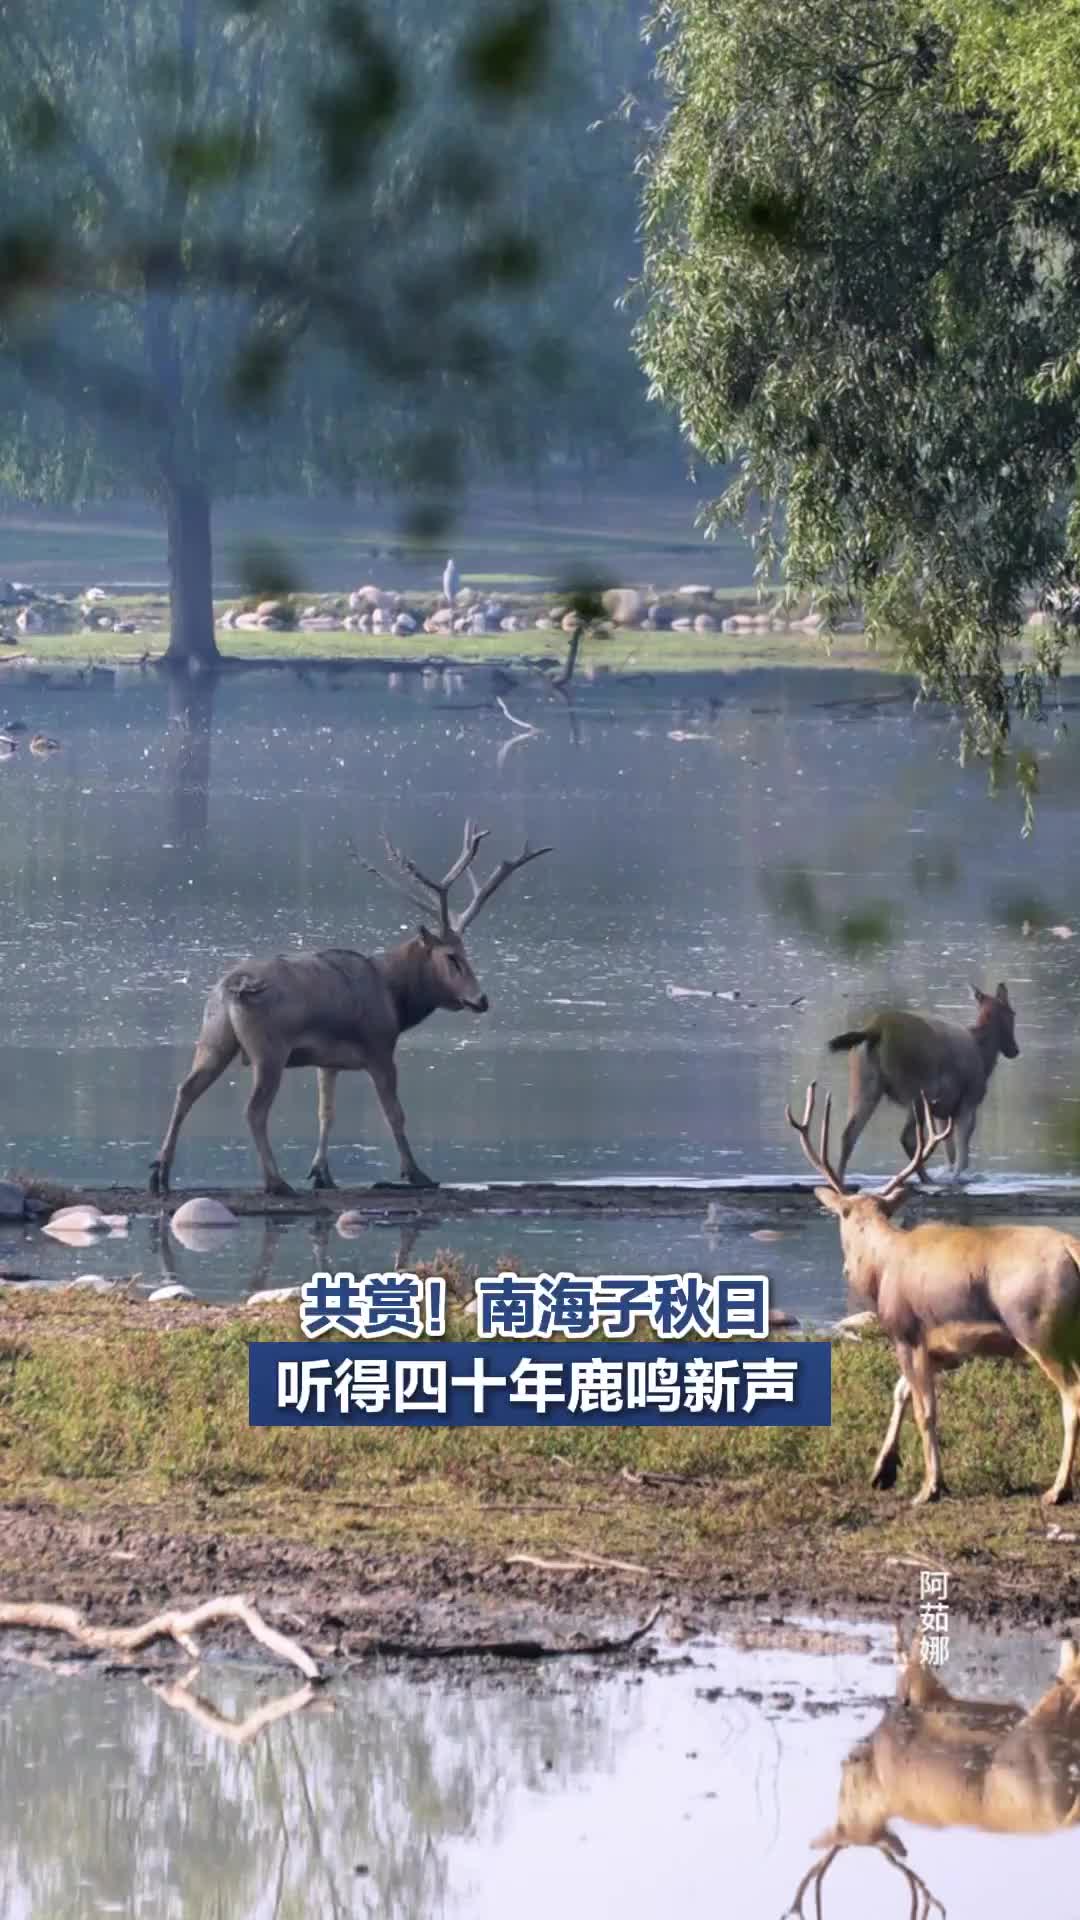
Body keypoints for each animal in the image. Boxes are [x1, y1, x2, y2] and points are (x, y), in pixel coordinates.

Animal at [148, 822, 551, 1197]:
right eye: (452, 957)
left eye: (468, 954)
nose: (481, 1000)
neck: (396, 1000)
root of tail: (232, 989)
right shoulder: (379, 1047)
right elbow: (395, 1114)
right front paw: (416, 1173)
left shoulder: (327, 1061)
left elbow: (327, 1114)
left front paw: (322, 1174)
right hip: (269, 1048)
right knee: (254, 1110)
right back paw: (275, 1181)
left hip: (214, 1037)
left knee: (185, 1089)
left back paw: (161, 1174)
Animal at [787, 1081, 1080, 1506]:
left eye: (842, 1214)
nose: (845, 1269)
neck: (881, 1267)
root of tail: (1073, 1250)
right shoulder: (944, 1349)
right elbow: (900, 1392)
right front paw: (883, 1470)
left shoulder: (906, 1333)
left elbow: (926, 1411)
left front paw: (930, 1486)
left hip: (1039, 1329)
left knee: (1072, 1397)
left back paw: (1058, 1488)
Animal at [787, 1630, 1080, 1917]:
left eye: (844, 1824)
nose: (848, 1761)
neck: (880, 1782)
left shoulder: (922, 1686)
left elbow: (914, 1657)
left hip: (1035, 1733)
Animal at [827, 983, 1018, 1185]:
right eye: (1012, 1013)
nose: (1014, 1050)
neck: (985, 1056)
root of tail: (875, 1029)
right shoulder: (969, 1101)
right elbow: (962, 1157)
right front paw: (957, 1178)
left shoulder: (944, 1112)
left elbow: (950, 1154)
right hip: (918, 1090)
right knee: (908, 1138)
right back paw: (925, 1178)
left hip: (863, 1084)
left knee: (848, 1135)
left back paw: (839, 1180)